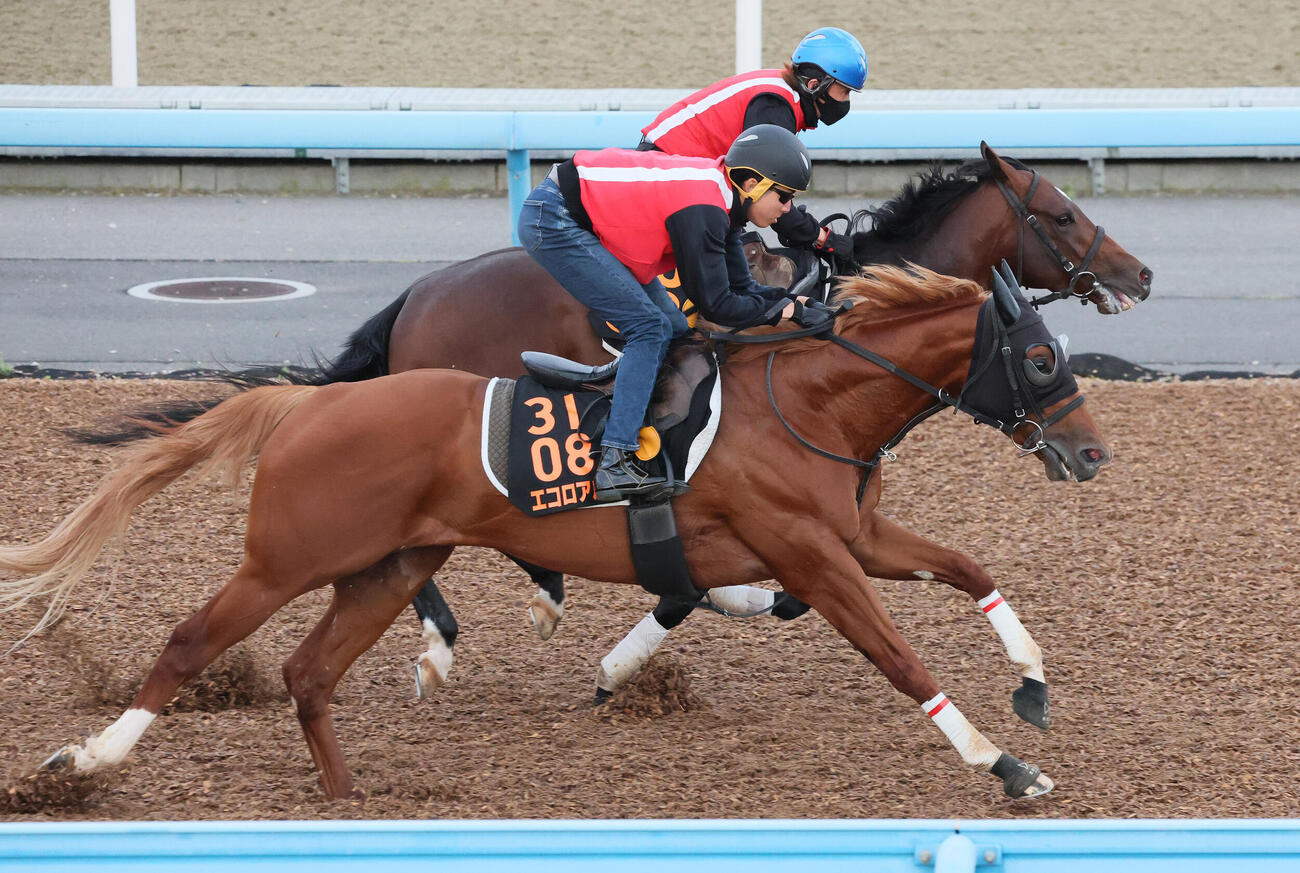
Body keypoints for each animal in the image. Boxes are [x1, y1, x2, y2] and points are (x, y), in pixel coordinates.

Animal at [3, 264, 1109, 801]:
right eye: (1042, 357)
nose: (1092, 453)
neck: (806, 401)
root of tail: (305, 406)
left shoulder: (855, 539)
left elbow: (968, 565)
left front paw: (1033, 683)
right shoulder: (814, 555)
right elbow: (899, 657)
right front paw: (1005, 765)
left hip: (389, 566)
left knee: (309, 672)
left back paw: (349, 793)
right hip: (287, 558)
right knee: (193, 640)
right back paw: (85, 762)